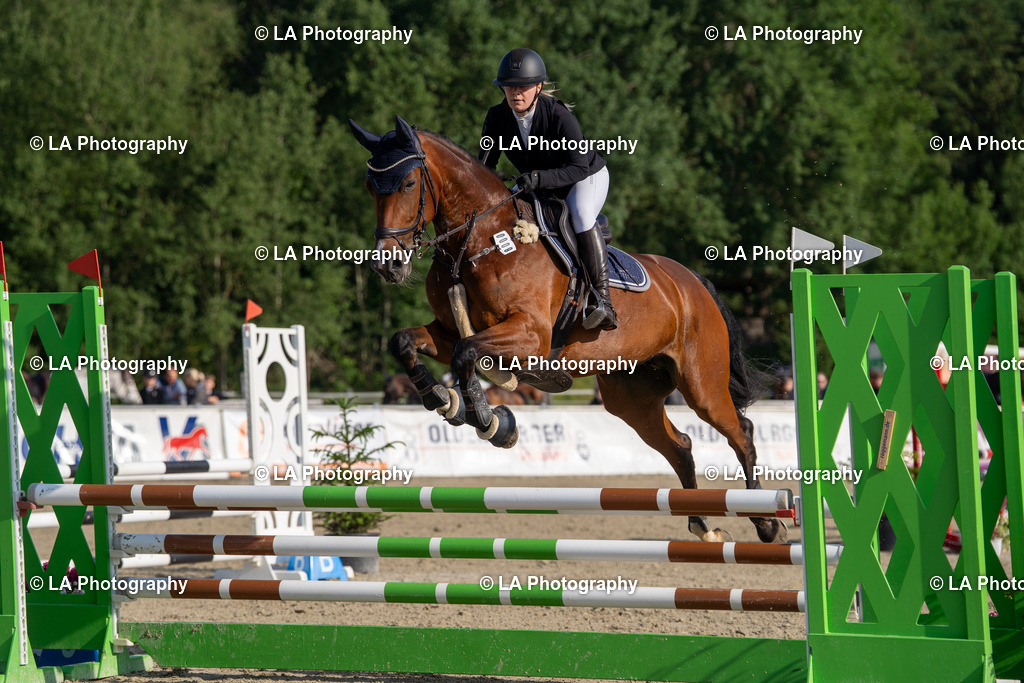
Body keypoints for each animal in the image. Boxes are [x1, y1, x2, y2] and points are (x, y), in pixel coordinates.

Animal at [349, 116, 785, 544]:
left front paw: (490, 420)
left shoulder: (531, 336)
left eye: (408, 184)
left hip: (701, 383)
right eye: (370, 187)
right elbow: (406, 342)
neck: (480, 242)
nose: (388, 266)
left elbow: (466, 354)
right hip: (632, 397)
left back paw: (768, 524)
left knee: (741, 432)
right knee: (680, 446)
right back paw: (701, 524)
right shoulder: (447, 331)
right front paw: (442, 398)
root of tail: (694, 282)